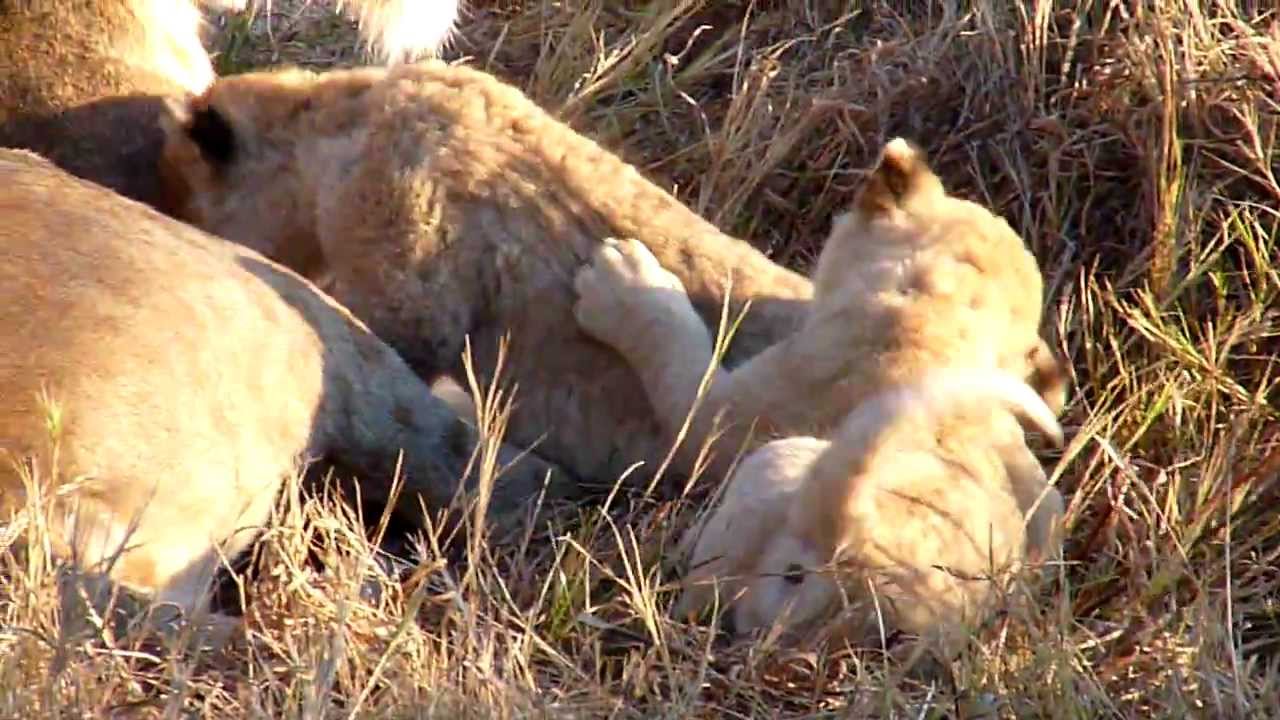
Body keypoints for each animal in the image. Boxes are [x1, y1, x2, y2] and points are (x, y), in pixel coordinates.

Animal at [570, 139, 1068, 658]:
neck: (950, 320)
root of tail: (855, 560)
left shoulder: (734, 414)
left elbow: (678, 363)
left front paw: (622, 278)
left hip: (774, 461)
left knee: (704, 595)